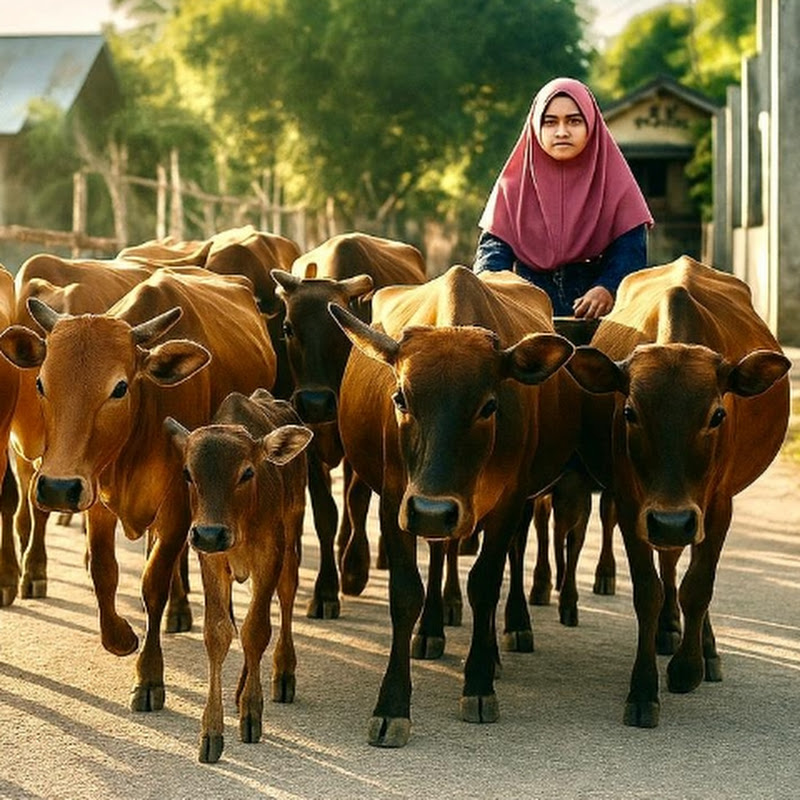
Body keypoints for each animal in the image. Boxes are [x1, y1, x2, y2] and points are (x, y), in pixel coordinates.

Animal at [0, 268, 277, 712]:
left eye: (118, 388)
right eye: (41, 383)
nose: (57, 488)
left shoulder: (180, 503)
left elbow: (153, 583)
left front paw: (148, 676)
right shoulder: (95, 494)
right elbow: (103, 571)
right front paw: (120, 638)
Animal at [165, 389, 312, 763]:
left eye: (247, 472)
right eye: (188, 472)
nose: (210, 533)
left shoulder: (269, 556)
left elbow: (256, 630)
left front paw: (251, 713)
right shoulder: (211, 560)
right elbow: (219, 632)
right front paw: (211, 732)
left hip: (292, 536)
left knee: (286, 597)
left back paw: (283, 673)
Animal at [271, 232, 427, 618]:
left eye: (339, 331)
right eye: (288, 328)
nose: (315, 402)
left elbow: (356, 501)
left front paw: (354, 569)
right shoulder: (308, 442)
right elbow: (325, 513)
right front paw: (325, 590)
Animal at [330, 265, 581, 746]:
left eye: (489, 405)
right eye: (400, 398)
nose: (433, 510)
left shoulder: (508, 502)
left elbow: (485, 583)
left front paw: (479, 683)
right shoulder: (397, 500)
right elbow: (406, 592)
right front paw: (392, 706)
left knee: (510, 555)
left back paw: (509, 634)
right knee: (439, 553)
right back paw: (430, 631)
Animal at [565, 256, 790, 728]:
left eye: (717, 414)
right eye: (629, 412)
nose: (672, 520)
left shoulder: (717, 505)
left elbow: (699, 585)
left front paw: (689, 667)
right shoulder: (635, 505)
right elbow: (648, 591)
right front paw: (643, 689)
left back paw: (706, 648)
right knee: (669, 560)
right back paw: (670, 627)